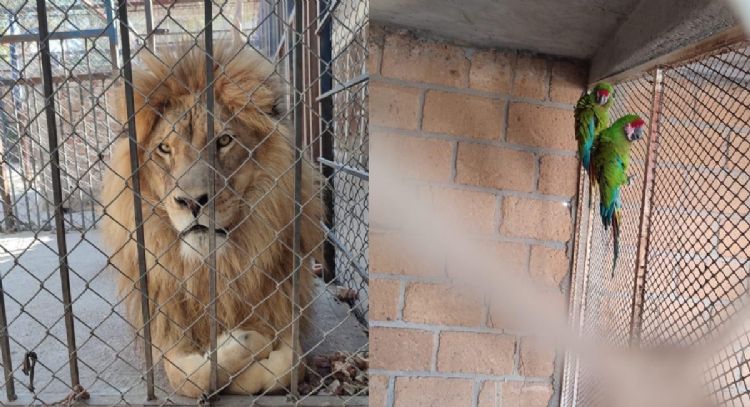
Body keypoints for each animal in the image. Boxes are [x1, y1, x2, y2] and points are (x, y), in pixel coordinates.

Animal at [100, 41, 323, 397]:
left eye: (224, 141)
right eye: (164, 148)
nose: (193, 201)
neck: (215, 268)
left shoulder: (286, 313)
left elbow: (288, 367)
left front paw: (252, 346)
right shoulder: (168, 334)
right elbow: (194, 377)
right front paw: (246, 342)